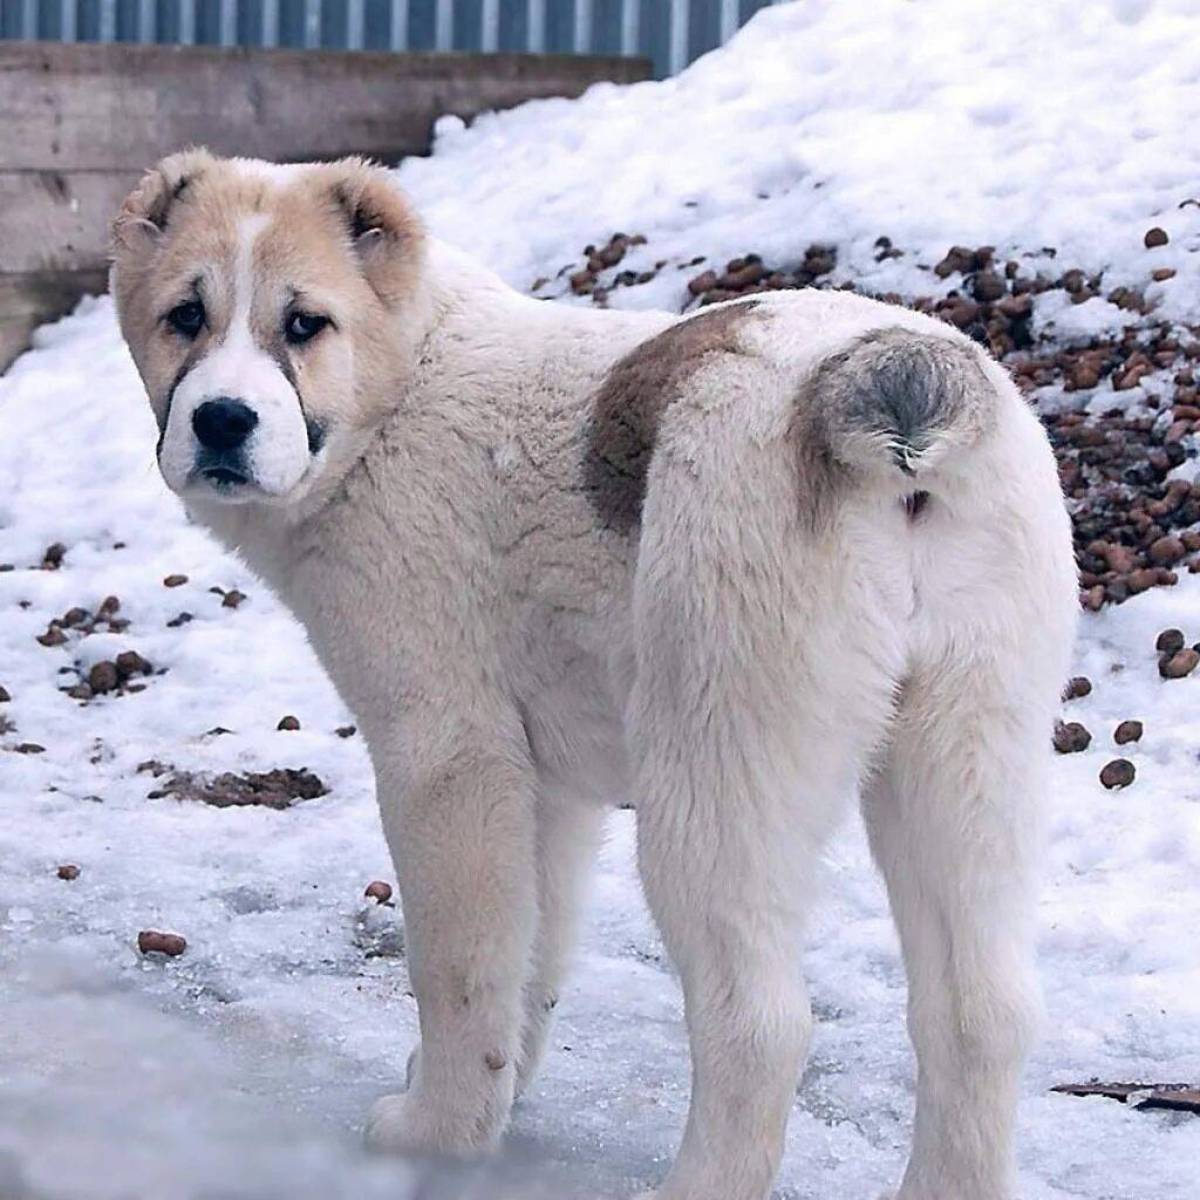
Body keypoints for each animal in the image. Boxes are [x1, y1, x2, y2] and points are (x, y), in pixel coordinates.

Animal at [112, 152, 1080, 1200]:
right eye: (184, 316)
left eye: (304, 324)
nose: (221, 421)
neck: (404, 384)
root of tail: (878, 378)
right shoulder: (550, 789)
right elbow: (530, 958)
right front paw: (494, 1098)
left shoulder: (449, 756)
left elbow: (459, 967)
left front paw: (438, 1129)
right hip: (968, 751)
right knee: (985, 1012)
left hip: (719, 770)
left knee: (760, 1025)